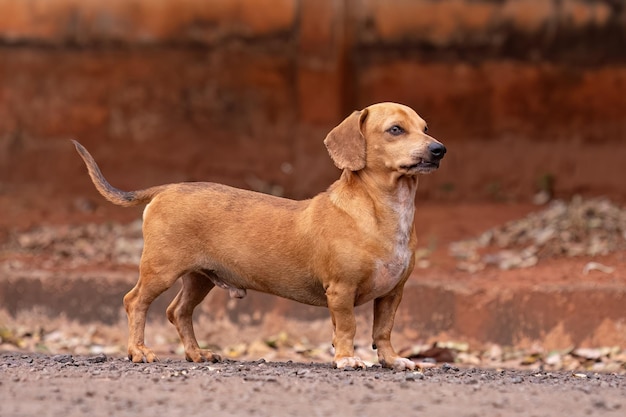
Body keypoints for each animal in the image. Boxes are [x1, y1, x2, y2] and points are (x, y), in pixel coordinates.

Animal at [72, 102, 444, 368]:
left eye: (425, 128)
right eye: (395, 129)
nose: (439, 149)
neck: (383, 209)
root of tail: (166, 188)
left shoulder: (393, 293)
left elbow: (383, 330)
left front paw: (392, 360)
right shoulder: (341, 291)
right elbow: (347, 328)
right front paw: (346, 358)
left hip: (199, 278)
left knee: (178, 312)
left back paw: (197, 354)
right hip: (160, 270)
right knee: (135, 302)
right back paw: (138, 350)